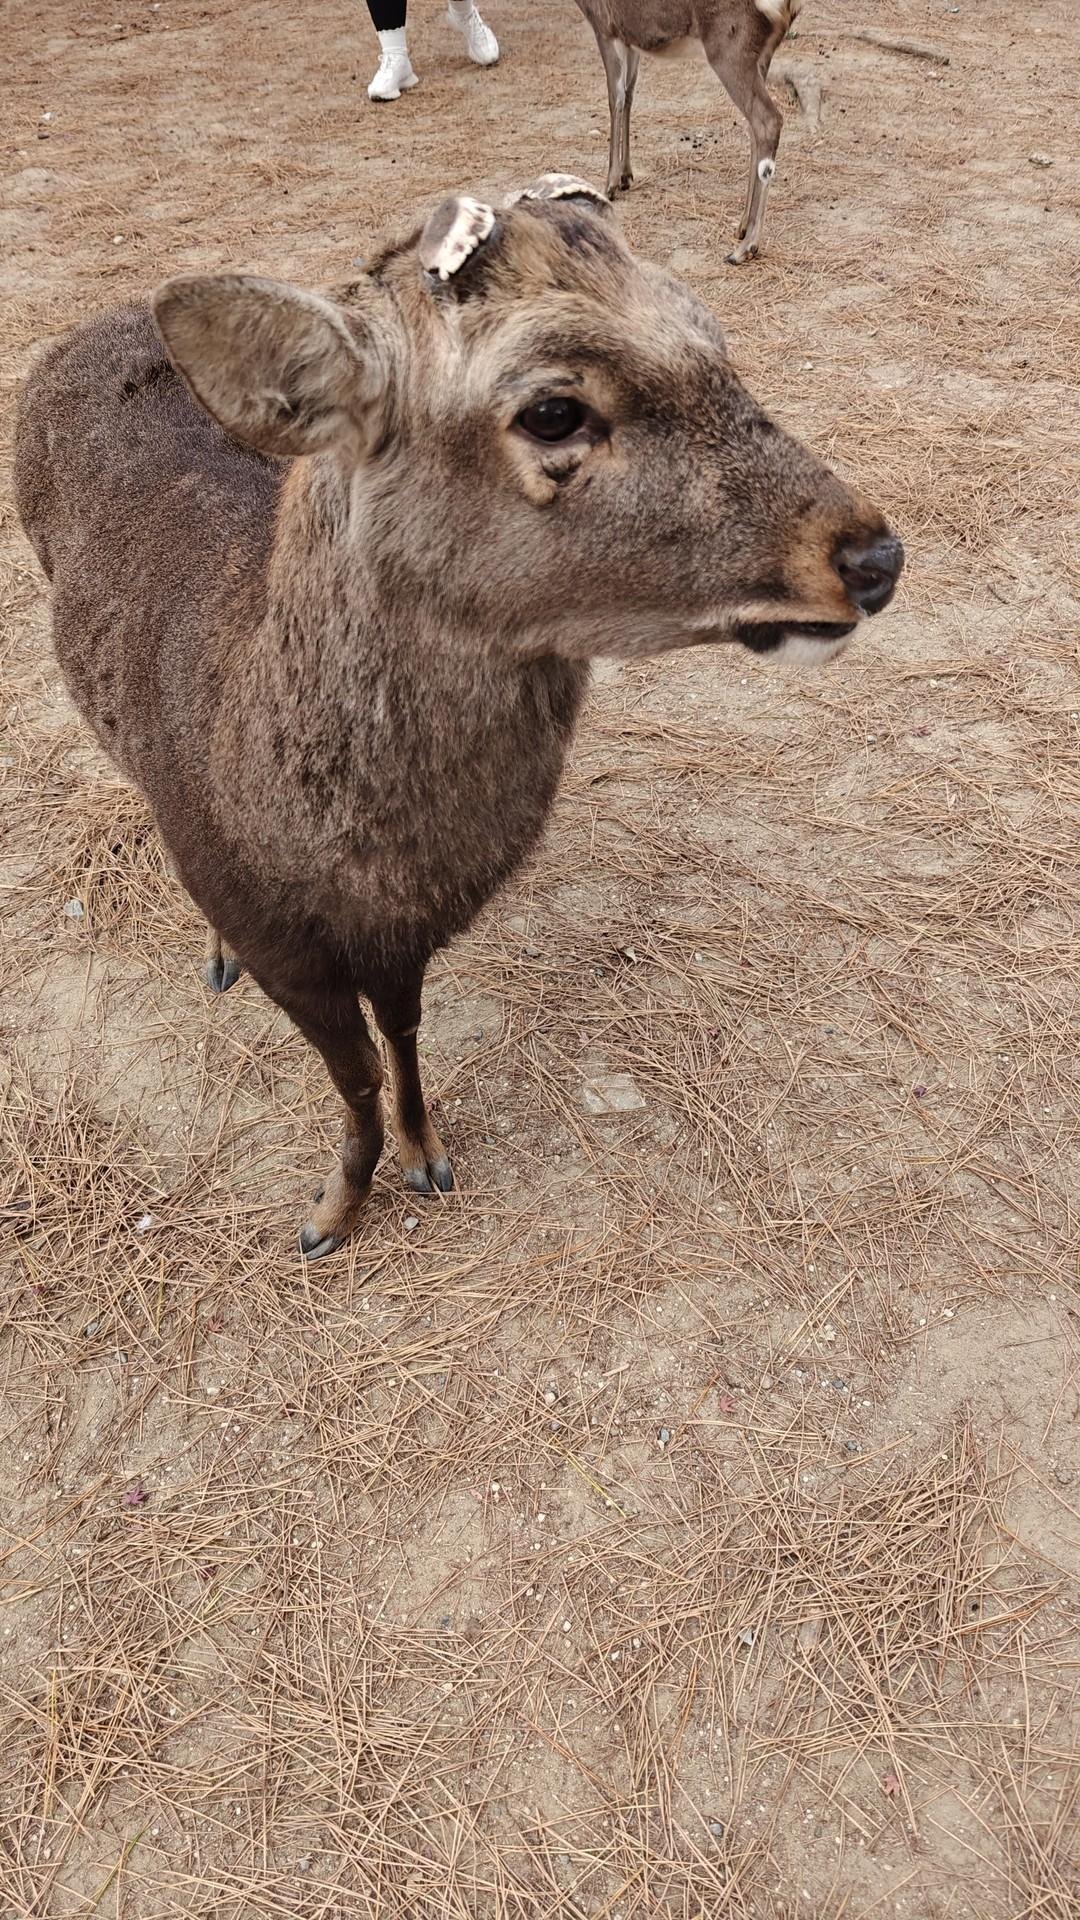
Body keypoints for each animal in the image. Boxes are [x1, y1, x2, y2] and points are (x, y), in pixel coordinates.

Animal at [14, 174, 903, 1257]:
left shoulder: (411, 936)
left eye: (714, 336)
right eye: (555, 410)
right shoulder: (280, 940)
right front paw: (330, 1214)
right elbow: (351, 1072)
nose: (874, 555)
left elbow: (402, 1036)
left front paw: (427, 1156)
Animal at [571, 0, 803, 262]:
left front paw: (609, 185)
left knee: (768, 120)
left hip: (730, 50)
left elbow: (615, 98)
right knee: (754, 128)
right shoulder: (629, 36)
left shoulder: (604, 27)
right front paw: (625, 176)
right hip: (761, 54)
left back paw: (746, 248)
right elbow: (629, 95)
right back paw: (743, 227)